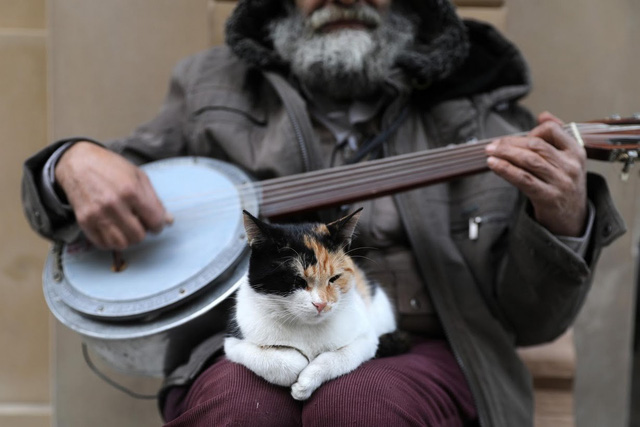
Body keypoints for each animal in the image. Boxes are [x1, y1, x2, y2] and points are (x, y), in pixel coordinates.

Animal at [222, 209, 398, 402]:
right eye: (297, 279)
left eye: (334, 278)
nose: (321, 304)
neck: (306, 329)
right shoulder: (233, 343)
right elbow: (285, 361)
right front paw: (298, 365)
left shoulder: (367, 339)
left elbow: (339, 357)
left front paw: (304, 383)